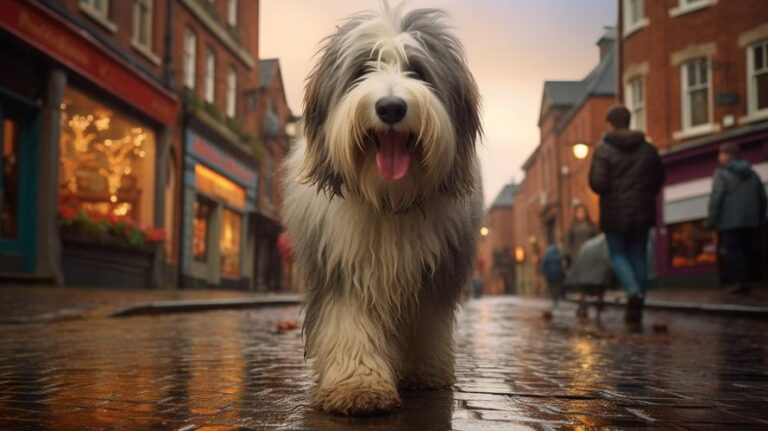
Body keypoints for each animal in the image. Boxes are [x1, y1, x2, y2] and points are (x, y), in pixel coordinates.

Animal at [282, 1, 484, 416]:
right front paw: (358, 386)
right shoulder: (341, 266)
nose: (391, 108)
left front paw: (425, 372)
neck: (389, 199)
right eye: (363, 69)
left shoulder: (433, 274)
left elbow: (427, 323)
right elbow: (350, 323)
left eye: (418, 70)